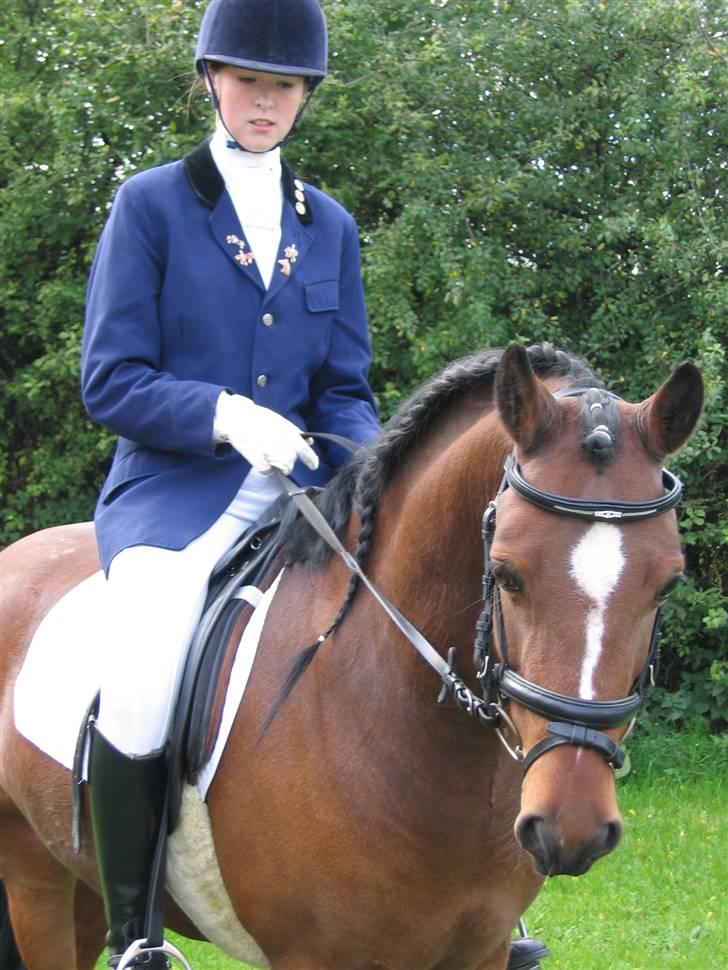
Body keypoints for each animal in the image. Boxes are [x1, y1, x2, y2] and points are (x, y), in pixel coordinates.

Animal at [0, 342, 703, 970]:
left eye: (668, 583)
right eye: (506, 574)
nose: (571, 824)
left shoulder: (477, 952)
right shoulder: (313, 955)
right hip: (35, 879)